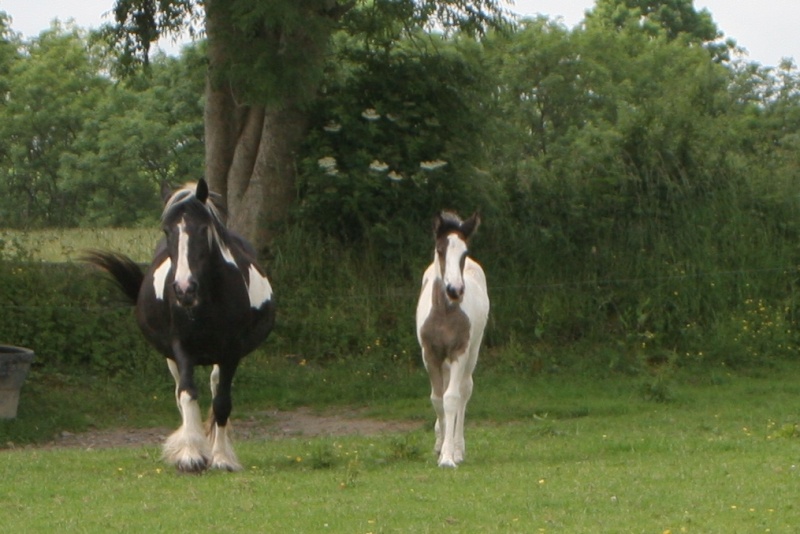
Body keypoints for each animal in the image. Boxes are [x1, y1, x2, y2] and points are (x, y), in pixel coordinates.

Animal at [85, 181, 276, 474]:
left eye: (203, 228)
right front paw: (190, 456)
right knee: (180, 393)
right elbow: (187, 395)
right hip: (171, 357)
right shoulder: (181, 348)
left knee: (215, 386)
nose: (185, 289)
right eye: (167, 230)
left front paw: (221, 458)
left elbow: (222, 403)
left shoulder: (230, 352)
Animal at [416, 213, 490, 468]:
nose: (455, 290)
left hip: (472, 352)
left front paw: (449, 457)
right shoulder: (430, 354)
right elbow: (437, 399)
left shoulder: (460, 351)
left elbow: (451, 398)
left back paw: (458, 449)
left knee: (464, 391)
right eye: (440, 250)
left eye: (464, 253)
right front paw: (440, 449)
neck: (444, 315)